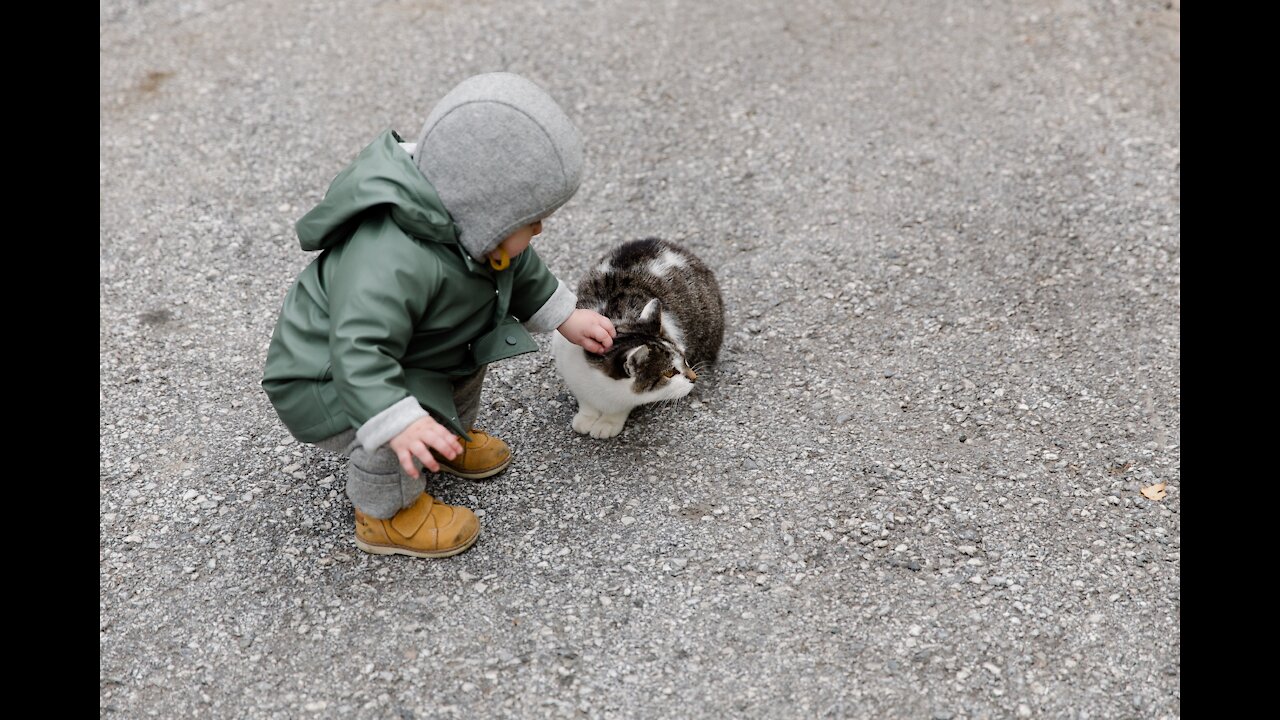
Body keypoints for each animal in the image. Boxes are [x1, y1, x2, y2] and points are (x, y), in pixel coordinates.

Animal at [550, 238, 727, 435]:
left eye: (684, 359)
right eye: (669, 372)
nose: (694, 377)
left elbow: (622, 406)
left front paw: (609, 422)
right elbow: (586, 401)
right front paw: (586, 417)